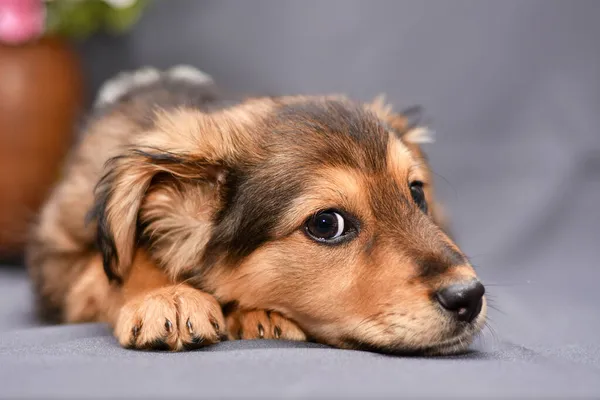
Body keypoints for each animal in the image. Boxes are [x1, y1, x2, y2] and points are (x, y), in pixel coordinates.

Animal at [29, 66, 488, 356]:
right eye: (327, 224)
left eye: (416, 194)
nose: (469, 297)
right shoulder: (62, 270)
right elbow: (115, 268)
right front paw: (166, 297)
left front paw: (257, 314)